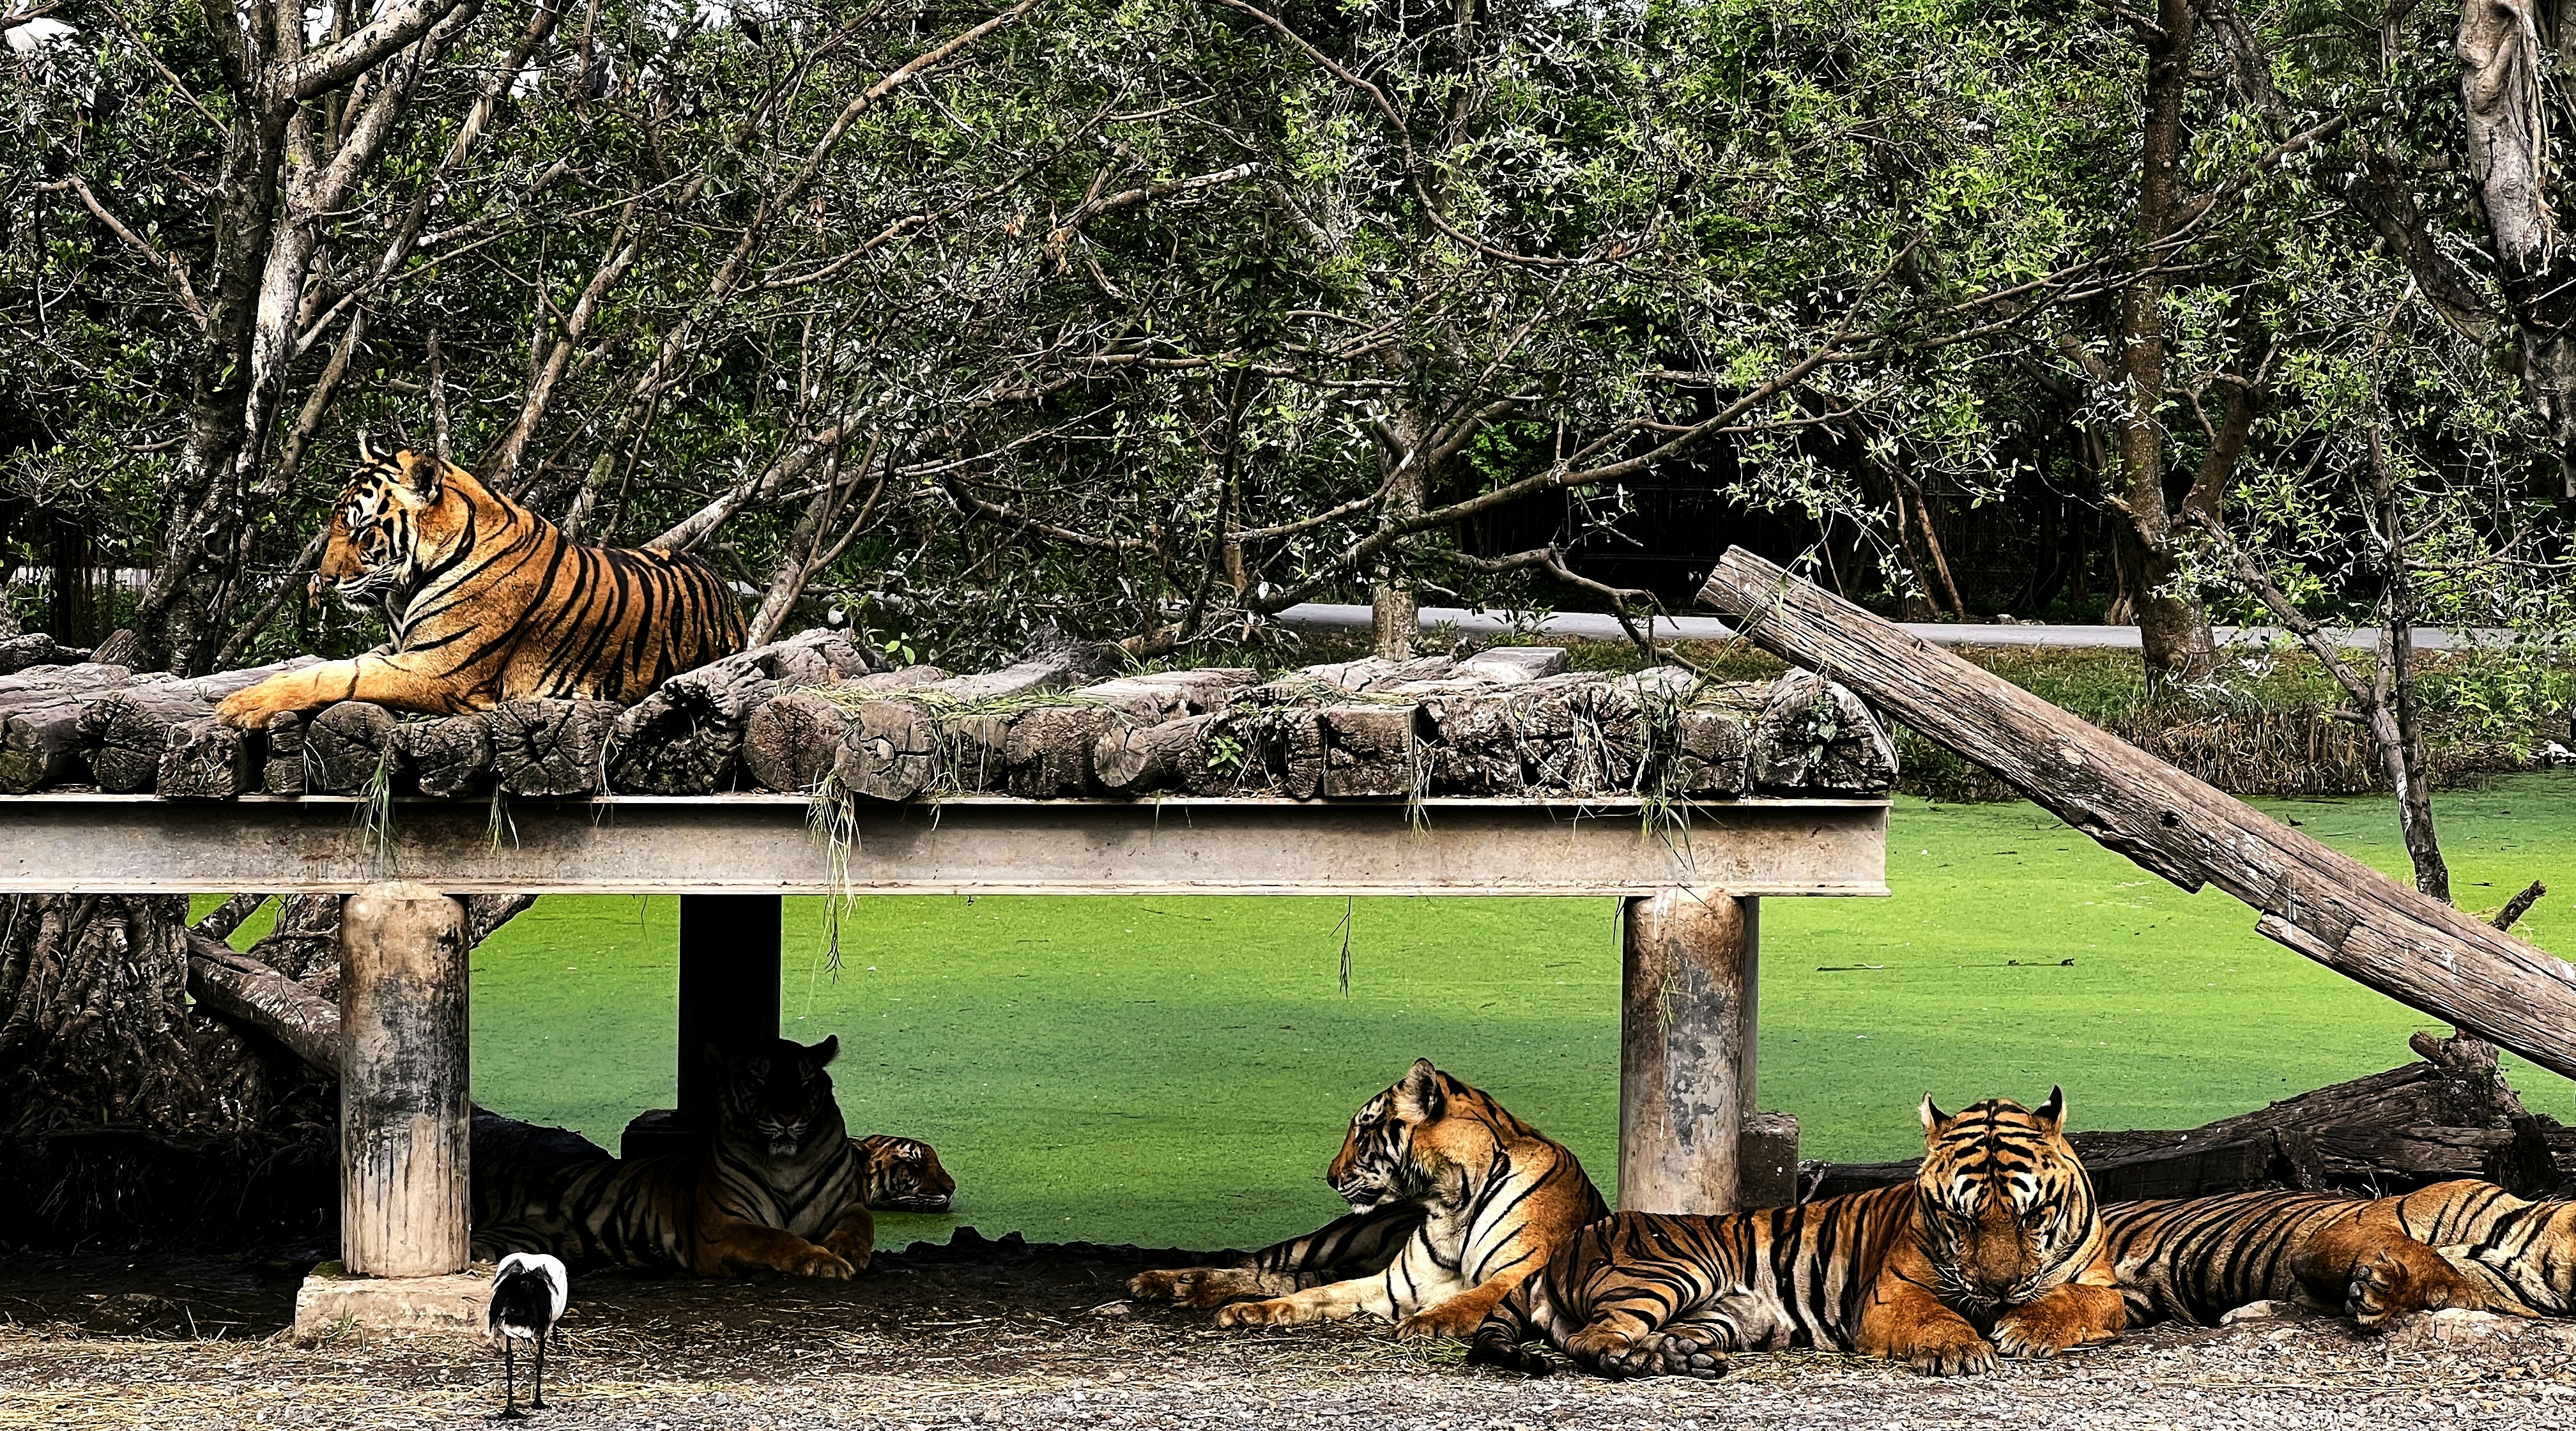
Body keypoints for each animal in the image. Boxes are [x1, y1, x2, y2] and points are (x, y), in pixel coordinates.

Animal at [213, 437, 743, 729]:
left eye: (362, 531)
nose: (323, 580)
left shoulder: (438, 670)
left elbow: (340, 675)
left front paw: (240, 706)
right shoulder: (402, 648)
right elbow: (333, 666)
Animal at [471, 1037, 873, 1278]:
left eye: (806, 1083)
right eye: (758, 1082)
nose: (787, 1118)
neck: (788, 1163)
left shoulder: (849, 1203)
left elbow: (860, 1225)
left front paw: (843, 1252)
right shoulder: (723, 1227)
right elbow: (776, 1238)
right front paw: (823, 1261)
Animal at [1128, 1058, 1606, 1337]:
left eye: (1361, 1133)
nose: (1329, 1177)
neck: (1452, 1197)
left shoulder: (1517, 1275)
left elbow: (1472, 1299)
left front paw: (1426, 1322)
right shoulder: (1391, 1284)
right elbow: (1318, 1295)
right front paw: (1251, 1312)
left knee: (1276, 1275)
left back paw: (1189, 1289)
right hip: (1329, 1240)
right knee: (1257, 1264)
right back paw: (1163, 1281)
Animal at [1468, 1089, 2124, 1380]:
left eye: (2031, 1217)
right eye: (1961, 1219)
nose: (1999, 1291)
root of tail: (1563, 1249)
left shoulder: (2103, 1289)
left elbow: (2068, 1301)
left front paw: (2026, 1328)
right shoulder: (1890, 1297)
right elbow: (1936, 1317)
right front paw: (1960, 1347)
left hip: (1725, 1315)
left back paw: (1679, 1358)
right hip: (1669, 1273)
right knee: (1592, 1341)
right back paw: (1640, 1363)